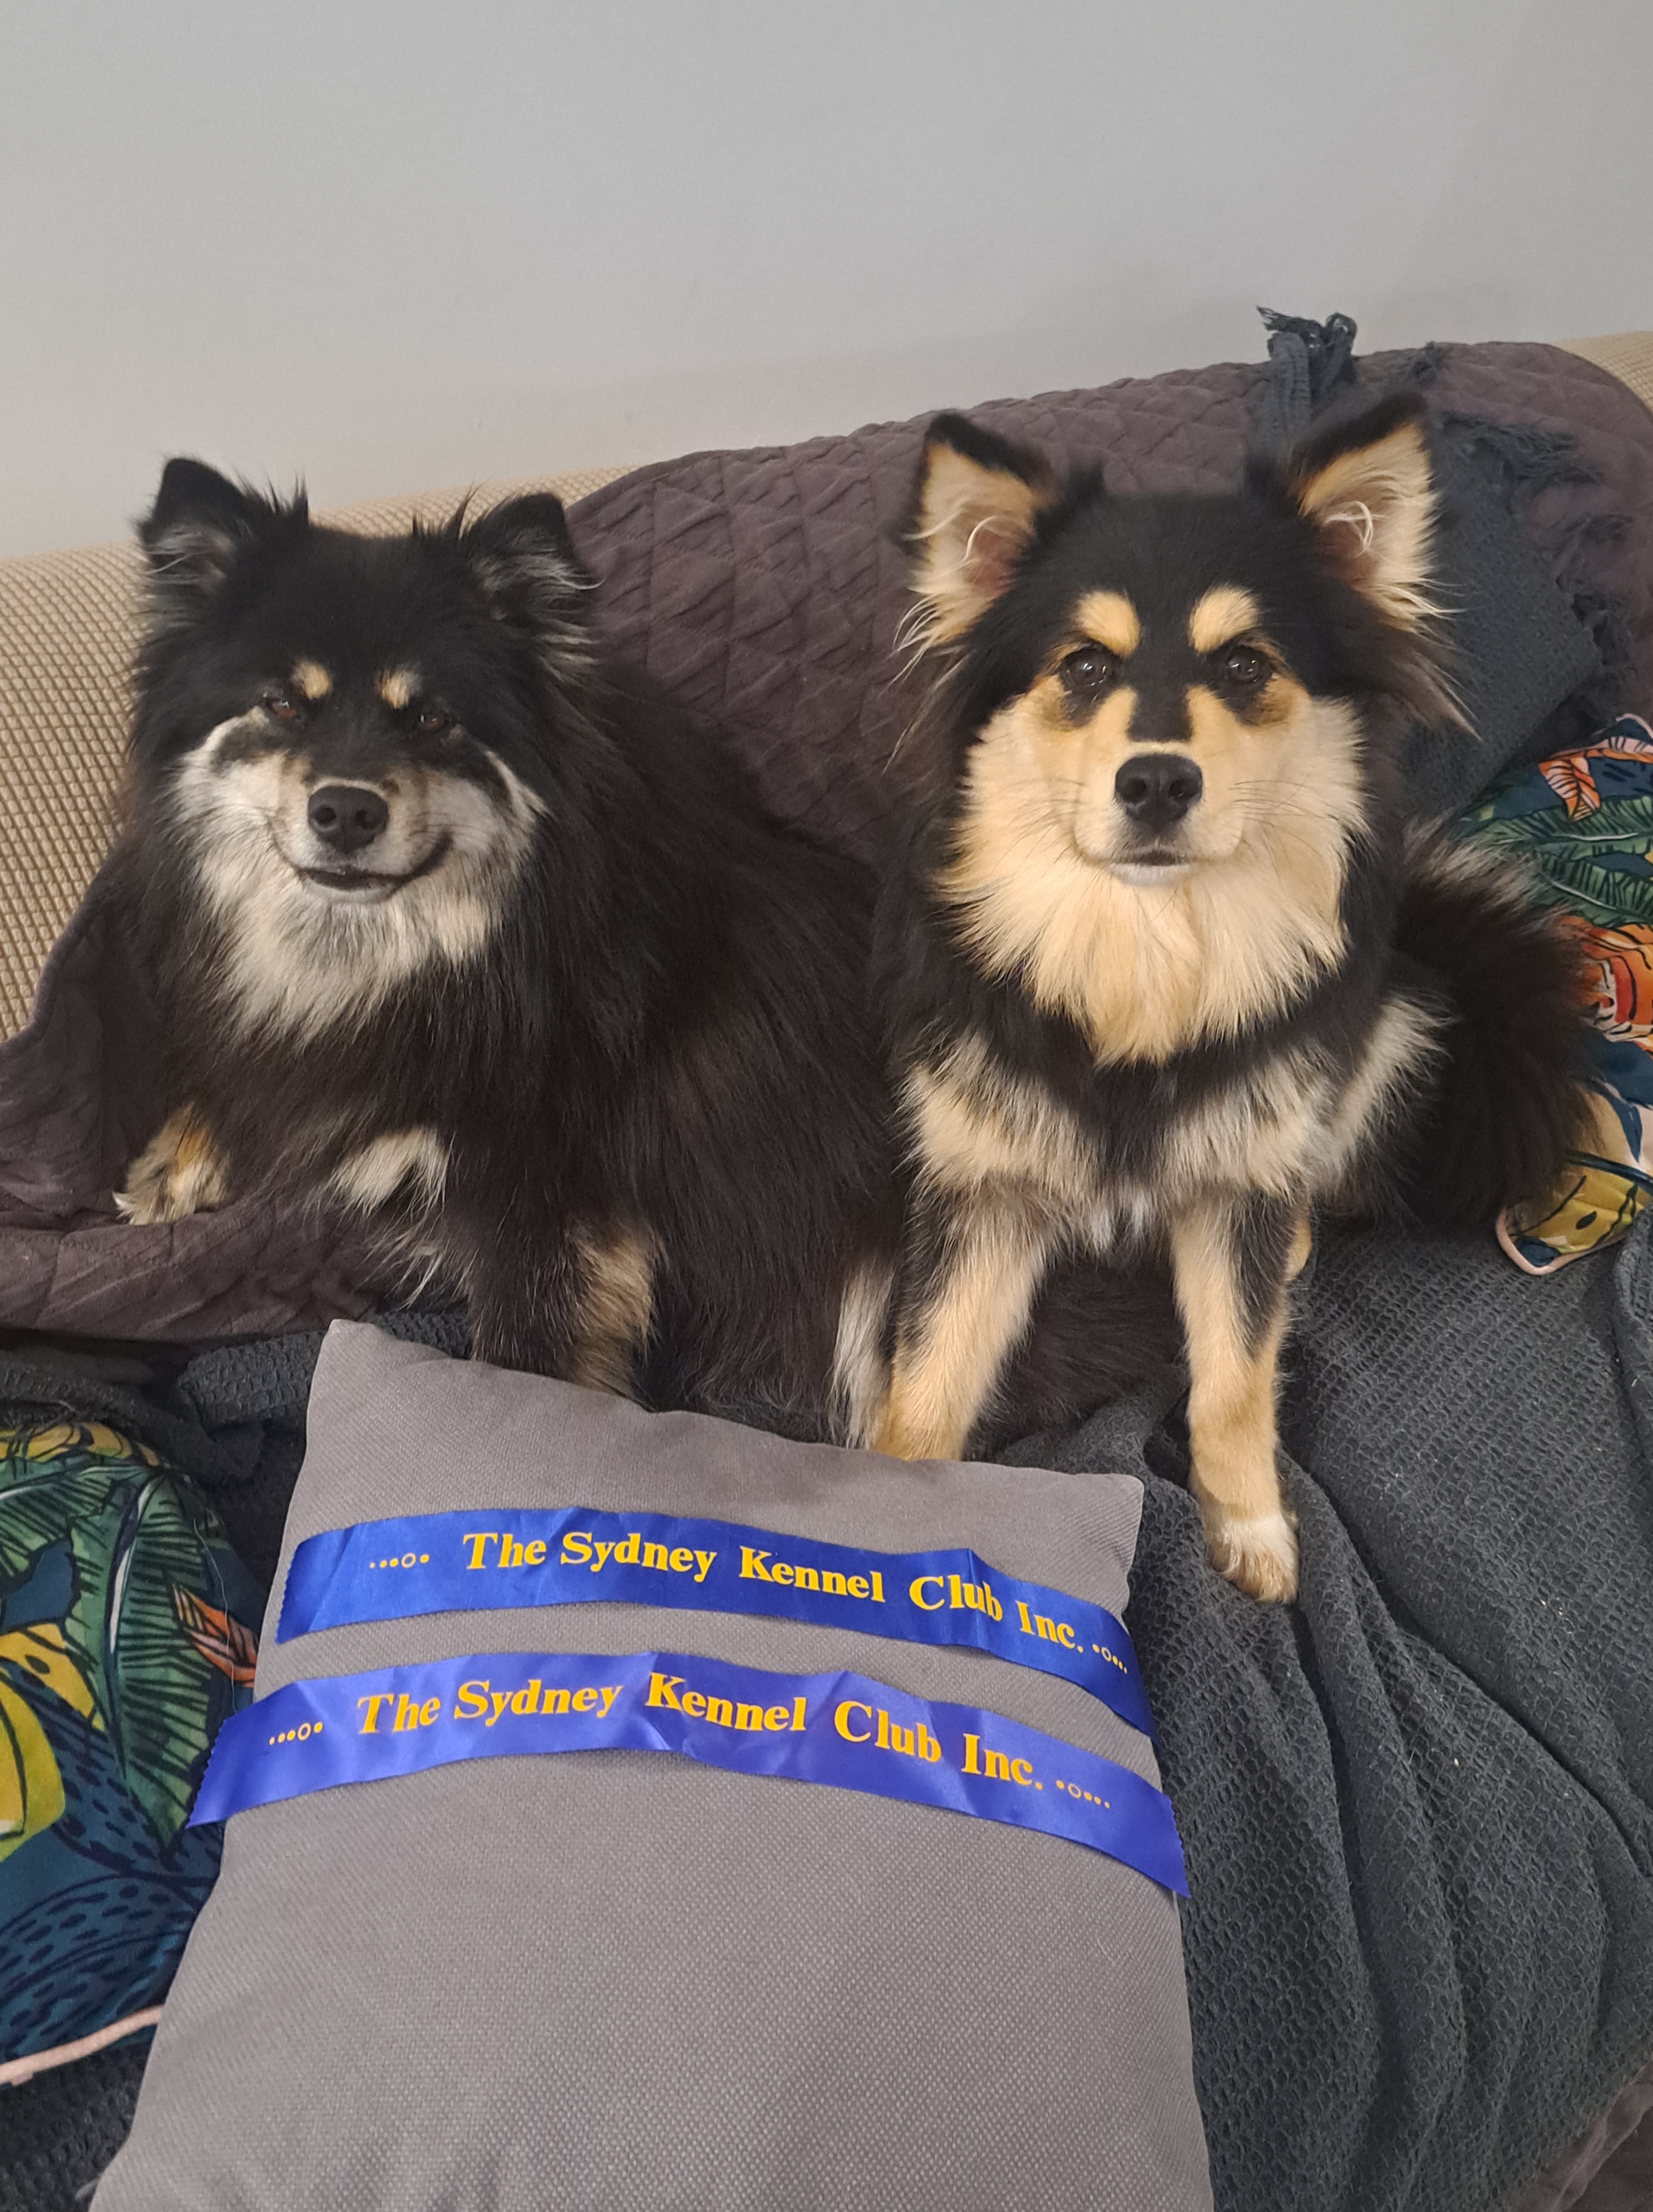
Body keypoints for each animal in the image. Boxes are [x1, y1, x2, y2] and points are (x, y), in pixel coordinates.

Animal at [870, 393, 1593, 1600]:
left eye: (1246, 665)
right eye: (1081, 666)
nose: (1159, 779)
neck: (1147, 947)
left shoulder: (1234, 1185)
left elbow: (1234, 1377)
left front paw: (1249, 1524)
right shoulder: (982, 1193)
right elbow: (923, 1383)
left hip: (1383, 1034)